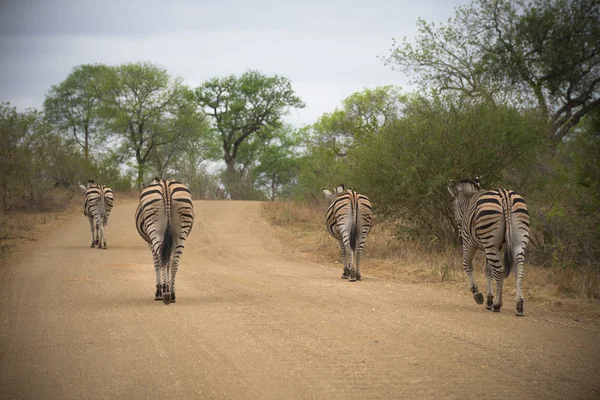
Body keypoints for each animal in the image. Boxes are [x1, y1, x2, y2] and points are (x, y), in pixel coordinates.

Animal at [446, 178, 528, 316]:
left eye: (452, 208)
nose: (459, 238)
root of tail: (505, 195)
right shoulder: (492, 248)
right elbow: (488, 270)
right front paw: (489, 299)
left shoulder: (469, 242)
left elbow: (467, 265)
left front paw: (477, 294)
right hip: (517, 241)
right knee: (519, 269)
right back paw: (519, 305)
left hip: (490, 242)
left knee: (499, 270)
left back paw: (498, 304)